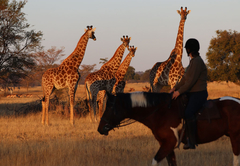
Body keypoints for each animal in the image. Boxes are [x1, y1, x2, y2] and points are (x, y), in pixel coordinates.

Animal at [97, 91, 240, 166]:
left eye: (110, 107)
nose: (100, 129)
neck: (161, 112)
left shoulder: (169, 143)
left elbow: (155, 161)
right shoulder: (166, 144)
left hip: (235, 137)